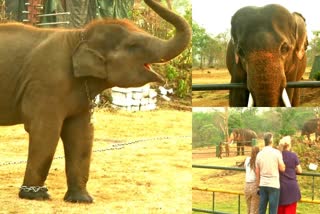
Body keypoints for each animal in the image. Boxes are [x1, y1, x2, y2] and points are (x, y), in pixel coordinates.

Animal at [0, 0, 191, 203]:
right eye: (133, 45)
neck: (79, 36)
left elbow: (81, 134)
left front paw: (81, 199)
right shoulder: (46, 83)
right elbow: (45, 131)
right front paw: (35, 196)